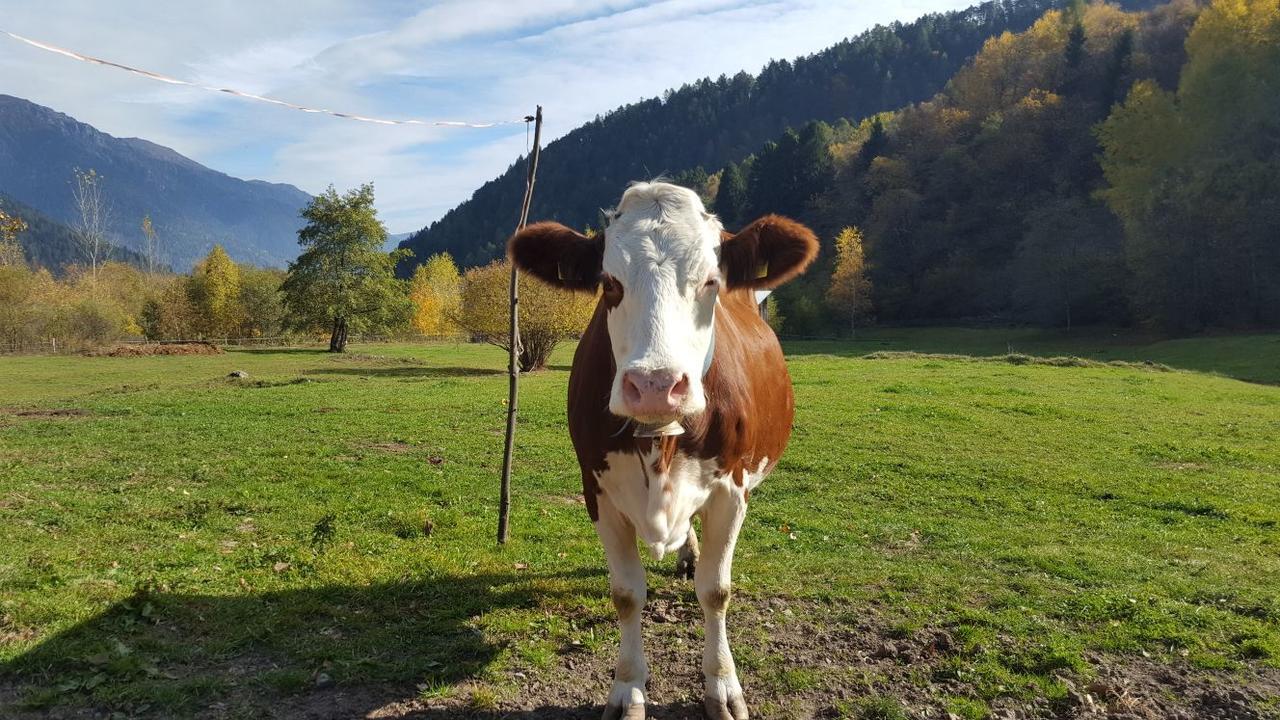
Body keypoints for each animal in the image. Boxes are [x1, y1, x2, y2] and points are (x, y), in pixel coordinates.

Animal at [504, 181, 814, 712]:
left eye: (711, 281)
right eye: (609, 283)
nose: (654, 384)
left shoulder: (732, 491)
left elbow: (716, 590)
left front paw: (722, 685)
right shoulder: (598, 490)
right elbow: (627, 593)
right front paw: (628, 688)